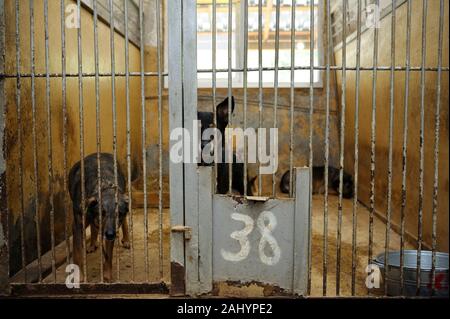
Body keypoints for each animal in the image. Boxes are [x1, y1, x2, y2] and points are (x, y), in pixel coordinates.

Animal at [68, 152, 130, 282]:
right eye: (102, 213)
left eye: (118, 214)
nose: (110, 234)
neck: (103, 185)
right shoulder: (77, 226)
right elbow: (78, 253)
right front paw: (80, 276)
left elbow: (108, 256)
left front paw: (107, 276)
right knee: (93, 226)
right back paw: (92, 244)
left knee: (125, 222)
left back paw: (126, 240)